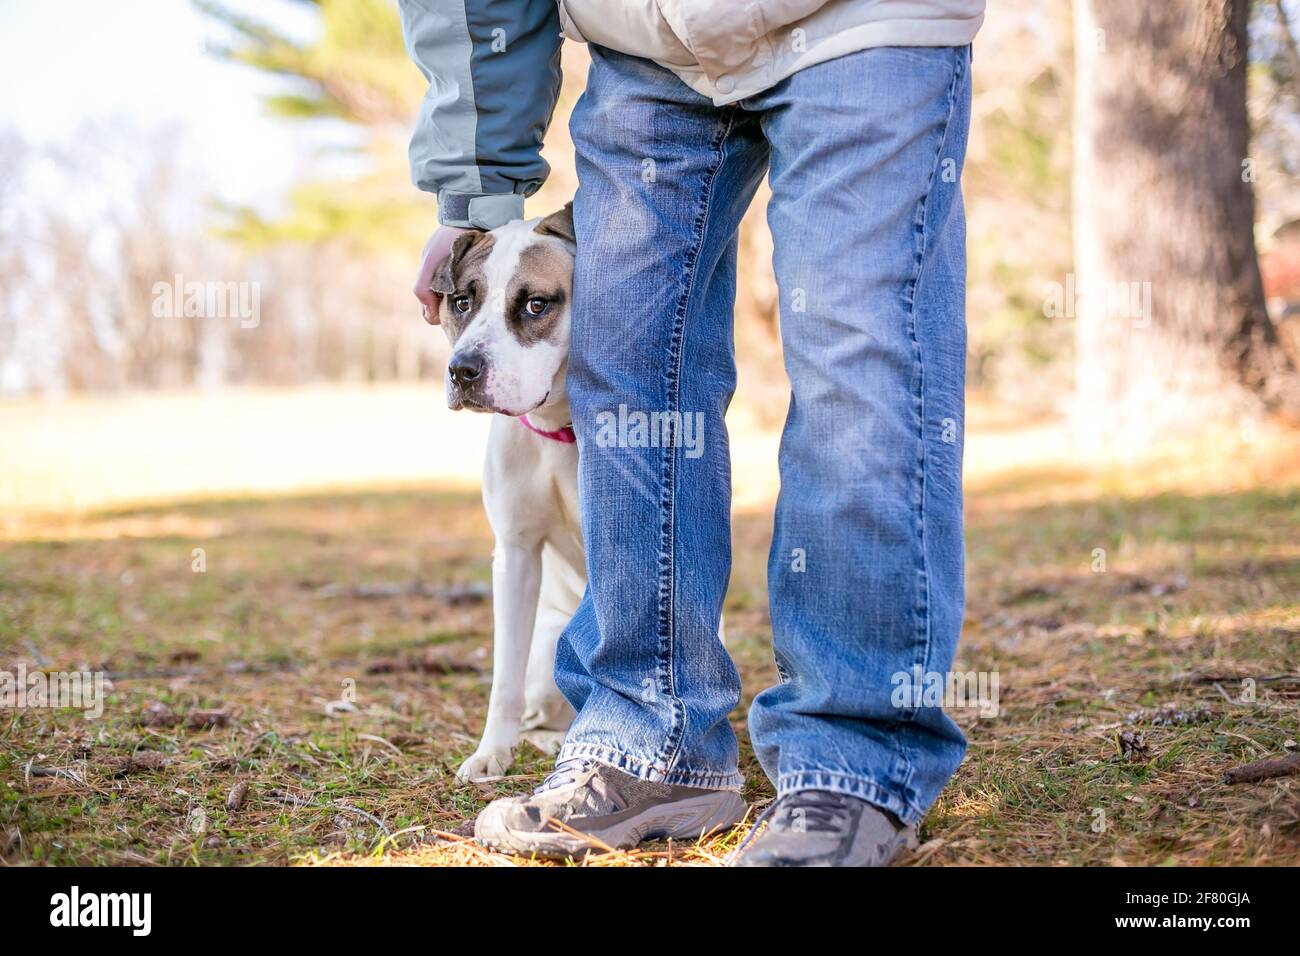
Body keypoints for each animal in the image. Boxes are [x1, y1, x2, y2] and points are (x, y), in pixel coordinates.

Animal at [431, 205, 585, 780]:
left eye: (536, 304)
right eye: (462, 302)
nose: (463, 370)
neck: (560, 428)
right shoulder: (516, 554)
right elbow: (504, 677)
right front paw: (490, 753)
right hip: (547, 659)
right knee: (542, 711)